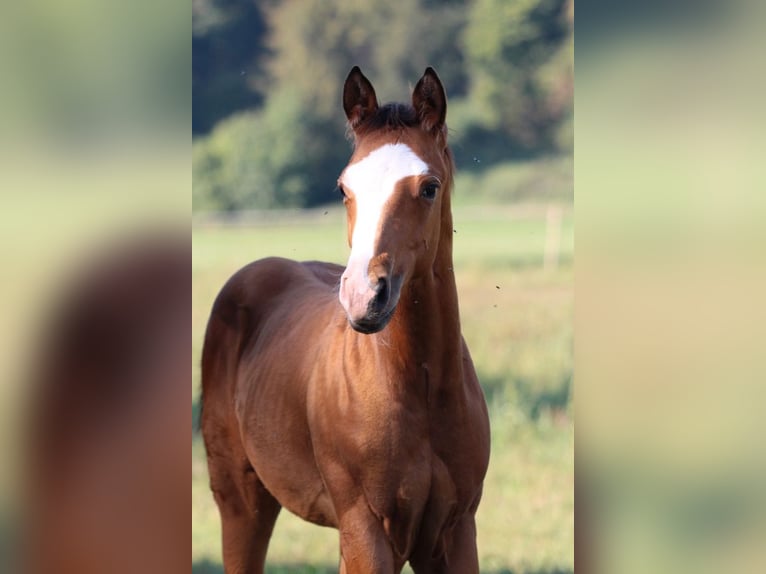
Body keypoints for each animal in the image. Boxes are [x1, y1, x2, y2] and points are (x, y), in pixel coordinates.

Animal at [200, 68, 492, 574]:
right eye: (343, 188)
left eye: (429, 187)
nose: (363, 297)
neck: (418, 389)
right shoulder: (365, 530)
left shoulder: (454, 533)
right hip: (239, 499)